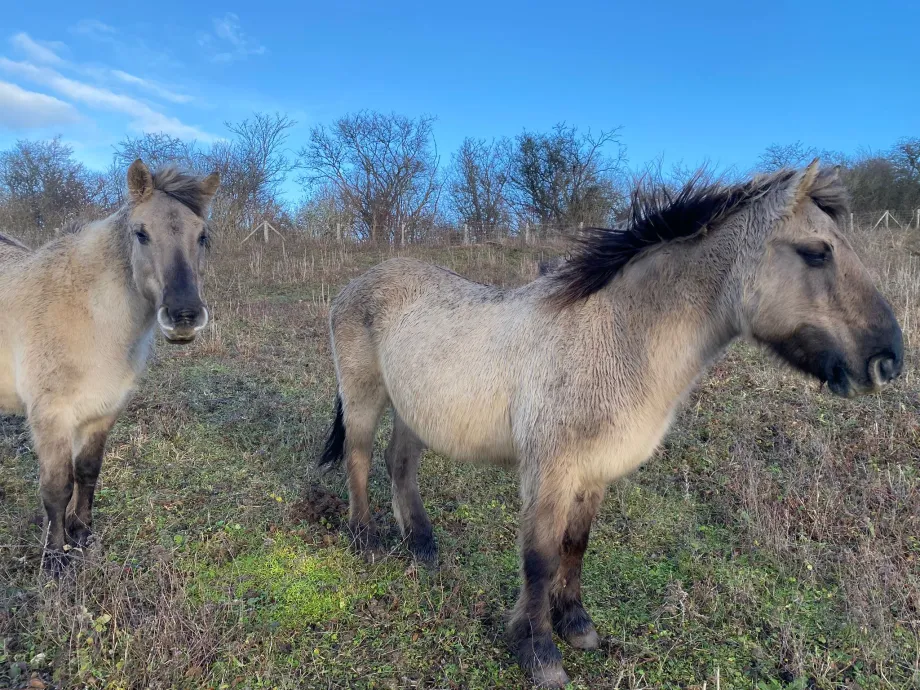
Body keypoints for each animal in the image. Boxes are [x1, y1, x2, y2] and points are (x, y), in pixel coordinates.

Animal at [0, 160, 219, 576]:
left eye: (202, 236)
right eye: (141, 233)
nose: (184, 316)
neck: (87, 314)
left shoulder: (103, 411)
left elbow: (87, 473)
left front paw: (82, 533)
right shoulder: (51, 416)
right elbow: (57, 488)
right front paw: (55, 559)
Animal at [319, 161, 903, 687]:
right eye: (817, 252)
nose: (888, 361)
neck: (618, 337)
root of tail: (358, 283)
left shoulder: (594, 472)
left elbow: (574, 547)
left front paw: (575, 625)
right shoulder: (550, 472)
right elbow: (539, 557)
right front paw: (539, 651)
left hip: (415, 409)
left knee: (399, 463)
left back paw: (422, 546)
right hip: (366, 396)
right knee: (360, 457)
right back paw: (365, 539)